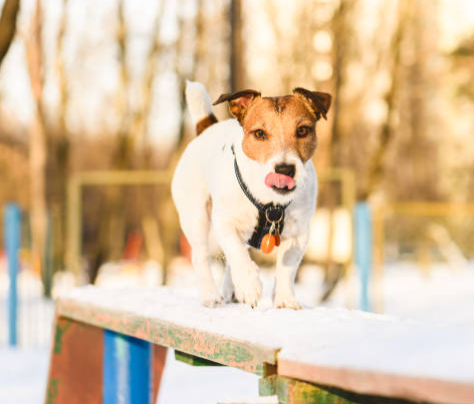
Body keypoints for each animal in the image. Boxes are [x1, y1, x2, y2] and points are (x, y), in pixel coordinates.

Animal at [172, 82, 332, 310]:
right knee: (200, 256)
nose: (284, 169)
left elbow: (287, 268)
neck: (271, 203)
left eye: (302, 130)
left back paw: (231, 290)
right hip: (196, 216)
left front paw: (285, 299)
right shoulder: (225, 224)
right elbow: (236, 252)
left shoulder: (299, 235)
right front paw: (249, 284)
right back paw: (211, 294)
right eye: (259, 133)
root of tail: (207, 128)